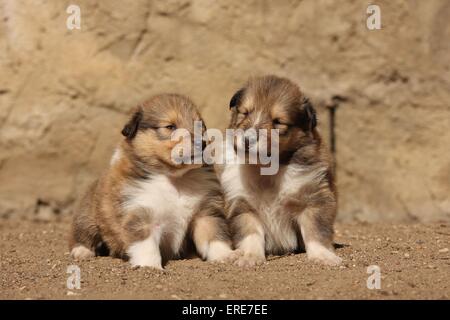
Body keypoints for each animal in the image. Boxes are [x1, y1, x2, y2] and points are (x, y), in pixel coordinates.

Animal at [69, 94, 236, 268]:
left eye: (200, 126)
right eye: (170, 127)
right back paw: (82, 252)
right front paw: (149, 267)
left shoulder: (206, 213)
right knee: (82, 234)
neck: (177, 179)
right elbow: (147, 246)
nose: (202, 144)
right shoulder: (142, 214)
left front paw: (225, 256)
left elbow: (214, 234)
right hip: (88, 215)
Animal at [221, 76, 342, 266]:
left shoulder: (314, 198)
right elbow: (250, 233)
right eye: (245, 113)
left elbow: (315, 230)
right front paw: (249, 256)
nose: (247, 141)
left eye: (278, 121)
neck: (265, 169)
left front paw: (323, 256)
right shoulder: (242, 204)